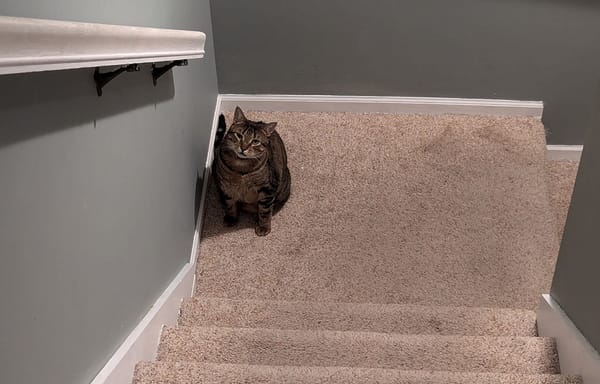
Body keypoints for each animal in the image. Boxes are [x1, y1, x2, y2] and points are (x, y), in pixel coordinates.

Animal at [214, 106, 292, 236]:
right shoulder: (226, 186)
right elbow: (230, 204)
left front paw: (264, 226)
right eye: (239, 135)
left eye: (255, 141)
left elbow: (265, 211)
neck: (241, 167)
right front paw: (231, 218)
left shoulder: (268, 189)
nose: (243, 148)